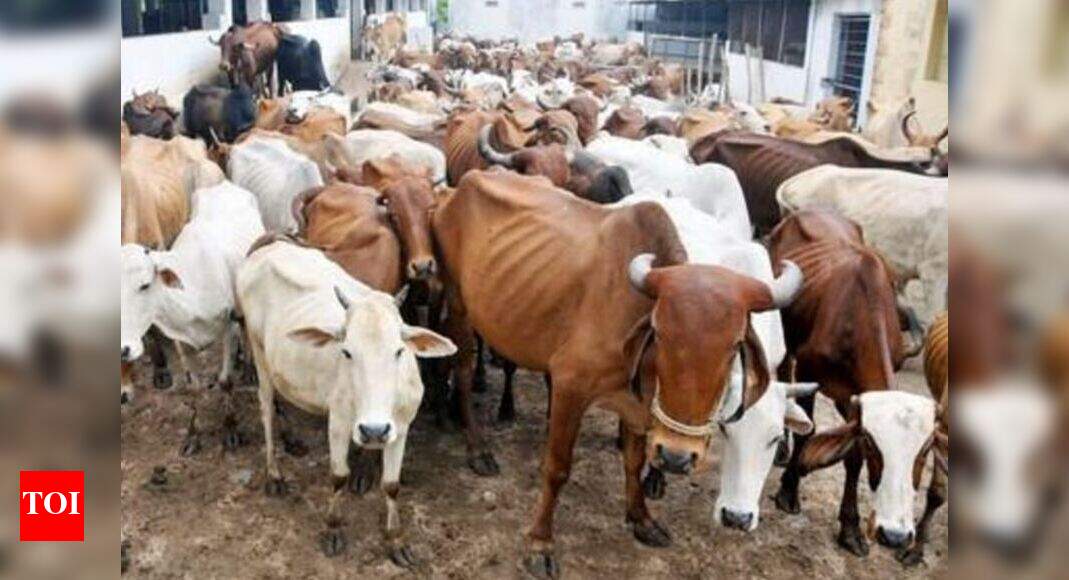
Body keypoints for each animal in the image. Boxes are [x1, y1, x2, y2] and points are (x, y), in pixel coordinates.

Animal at [121, 180, 264, 447]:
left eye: (145, 285)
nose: (124, 349)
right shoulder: (181, 341)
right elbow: (192, 387)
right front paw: (193, 435)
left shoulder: (227, 328)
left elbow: (225, 381)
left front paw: (231, 430)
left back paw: (249, 370)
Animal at [236, 238, 455, 562]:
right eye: (347, 351)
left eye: (399, 351)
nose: (374, 430)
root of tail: (270, 246)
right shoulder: (338, 422)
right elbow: (339, 476)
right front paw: (333, 529)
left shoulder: (401, 427)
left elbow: (391, 485)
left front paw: (396, 540)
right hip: (258, 352)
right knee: (266, 409)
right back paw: (273, 474)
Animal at [431, 169, 803, 576]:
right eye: (659, 331)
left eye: (734, 345)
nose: (678, 458)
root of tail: (462, 184)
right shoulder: (570, 386)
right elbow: (557, 468)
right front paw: (540, 543)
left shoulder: (639, 406)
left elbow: (635, 461)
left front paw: (641, 518)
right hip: (458, 303)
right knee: (463, 372)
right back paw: (477, 447)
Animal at [767, 210, 936, 559]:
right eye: (878, 446)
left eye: (924, 452)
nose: (896, 536)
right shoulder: (811, 372)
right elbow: (809, 433)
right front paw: (789, 490)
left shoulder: (855, 396)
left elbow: (852, 455)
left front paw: (850, 529)